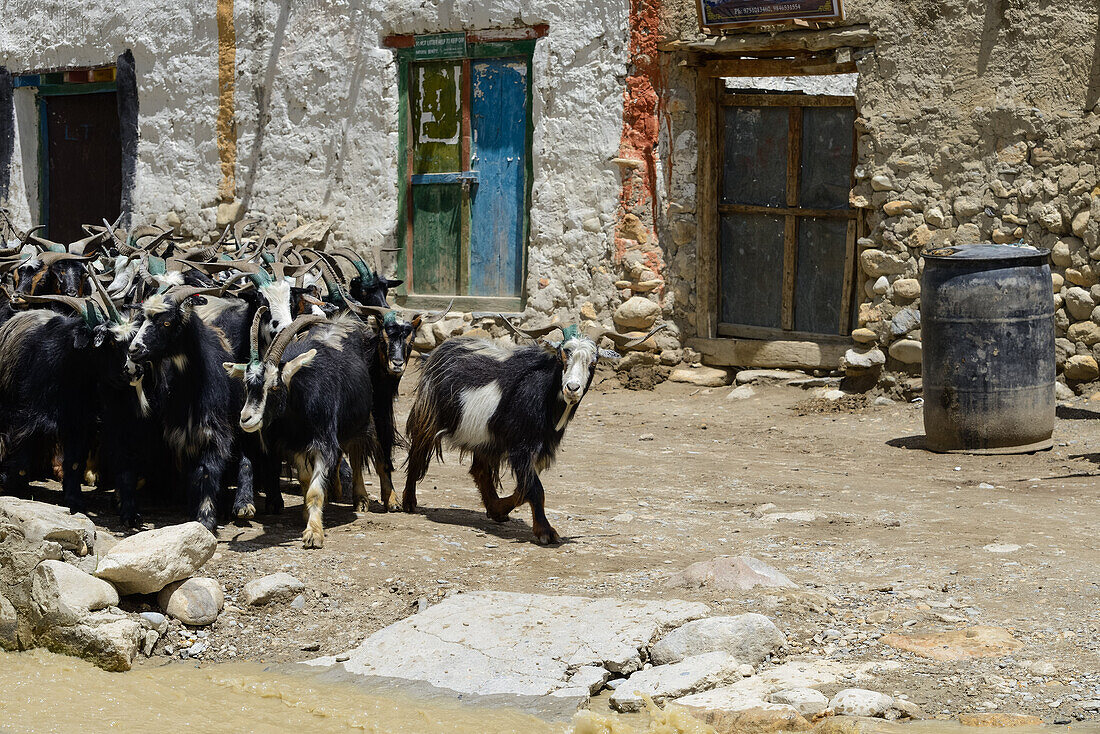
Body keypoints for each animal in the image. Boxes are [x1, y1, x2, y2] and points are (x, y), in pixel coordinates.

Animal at [404, 319, 660, 543]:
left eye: (593, 362)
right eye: (563, 355)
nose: (572, 388)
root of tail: (442, 349)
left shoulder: (538, 448)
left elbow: (524, 488)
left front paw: (499, 510)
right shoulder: (522, 446)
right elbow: (535, 489)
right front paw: (546, 532)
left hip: (485, 437)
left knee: (480, 470)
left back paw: (493, 507)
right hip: (428, 415)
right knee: (417, 453)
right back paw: (408, 502)